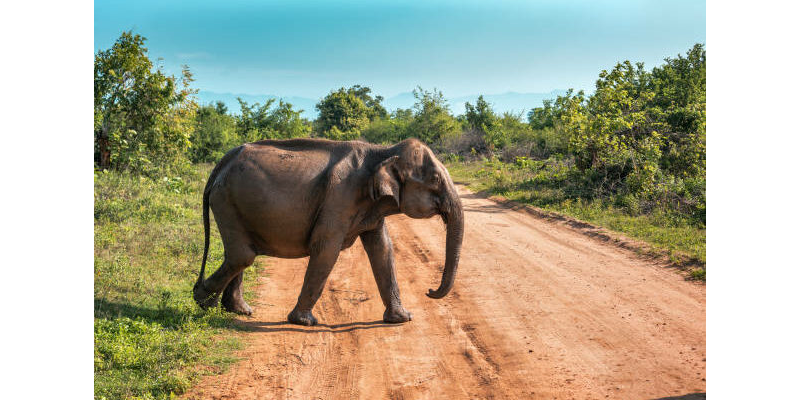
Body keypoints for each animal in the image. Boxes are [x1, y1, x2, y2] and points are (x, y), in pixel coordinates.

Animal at [194, 138, 466, 324]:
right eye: (434, 180)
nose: (429, 291)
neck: (383, 151)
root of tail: (222, 163)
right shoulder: (339, 199)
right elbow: (326, 249)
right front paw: (304, 322)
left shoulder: (371, 207)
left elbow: (382, 249)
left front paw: (401, 319)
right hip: (226, 200)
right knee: (243, 255)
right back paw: (203, 301)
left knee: (240, 254)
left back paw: (238, 310)